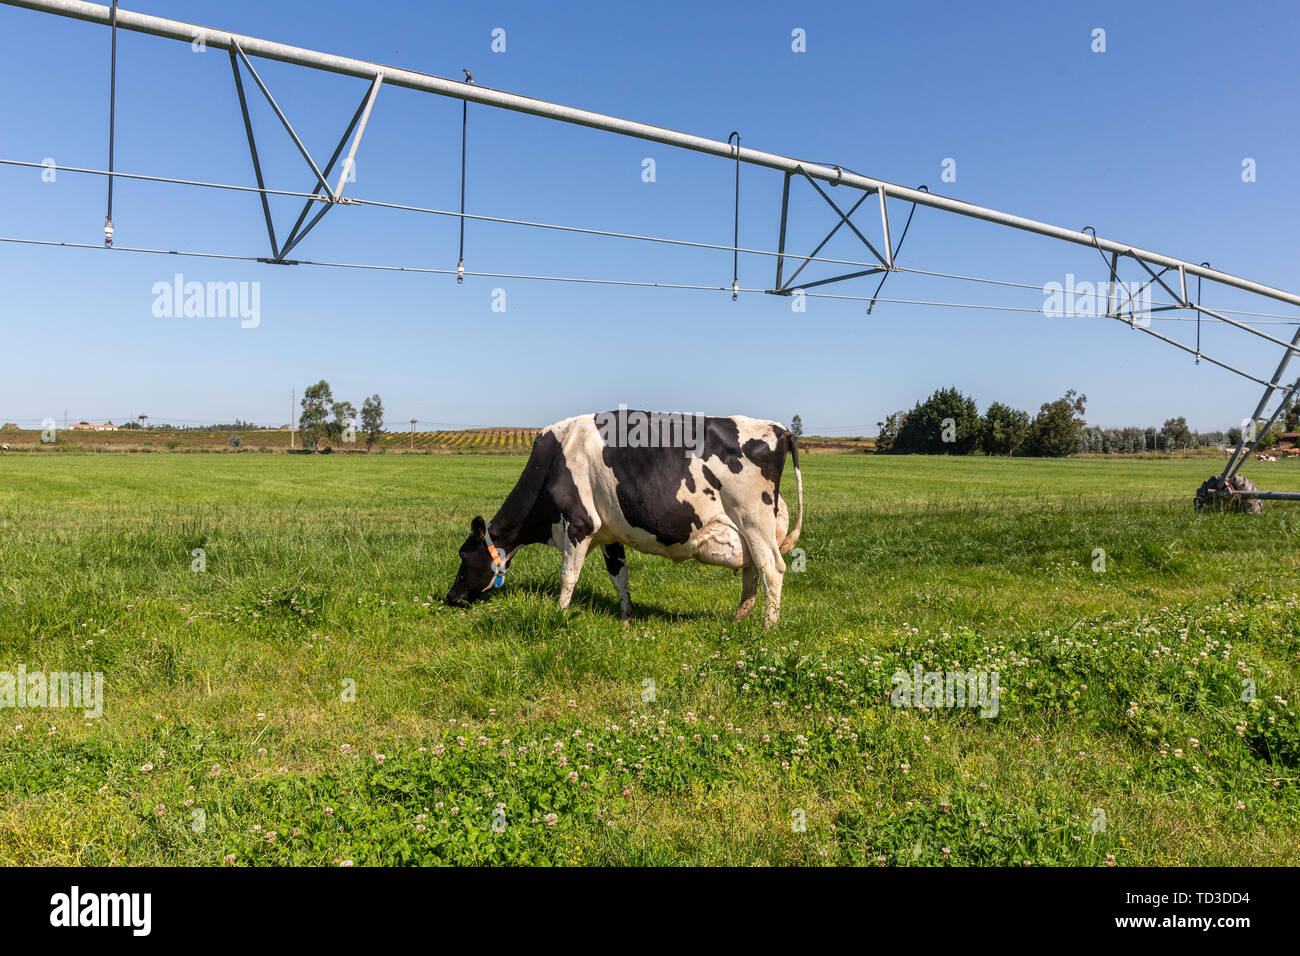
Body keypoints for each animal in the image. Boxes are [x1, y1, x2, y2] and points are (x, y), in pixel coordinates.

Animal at [444, 410, 803, 627]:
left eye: (464, 554)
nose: (450, 597)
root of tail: (780, 429)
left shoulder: (579, 524)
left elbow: (568, 575)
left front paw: (558, 613)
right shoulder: (609, 533)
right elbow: (619, 576)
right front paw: (628, 617)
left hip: (754, 518)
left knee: (772, 569)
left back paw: (768, 627)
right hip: (746, 529)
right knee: (752, 570)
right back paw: (740, 619)